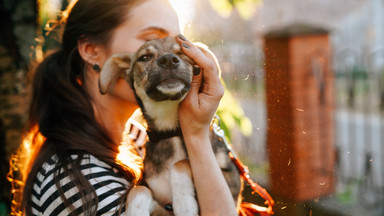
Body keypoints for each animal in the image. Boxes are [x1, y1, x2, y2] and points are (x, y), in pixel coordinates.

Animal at [100, 37, 242, 216]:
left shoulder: (232, 181)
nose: (168, 60)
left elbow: (180, 163)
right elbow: (139, 189)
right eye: (144, 57)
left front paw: (184, 204)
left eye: (182, 51)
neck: (170, 131)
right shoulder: (160, 204)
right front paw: (136, 211)